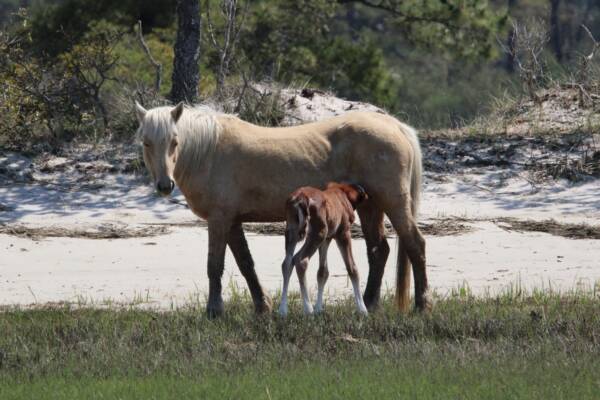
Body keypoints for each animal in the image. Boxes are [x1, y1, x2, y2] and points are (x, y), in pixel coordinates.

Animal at [278, 182, 370, 316]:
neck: (344, 195)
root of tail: (300, 199)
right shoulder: (343, 234)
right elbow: (352, 268)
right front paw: (363, 310)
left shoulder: (327, 239)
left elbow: (322, 272)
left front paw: (319, 308)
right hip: (317, 234)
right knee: (300, 260)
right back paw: (308, 309)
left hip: (292, 231)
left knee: (287, 262)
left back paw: (283, 310)